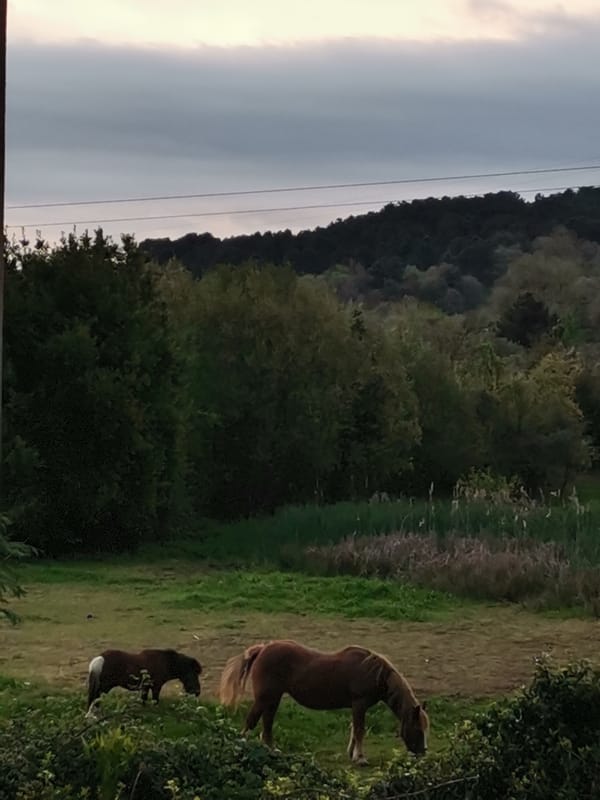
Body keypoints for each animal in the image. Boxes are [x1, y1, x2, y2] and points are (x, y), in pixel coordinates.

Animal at [219, 639, 428, 765]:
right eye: (417, 728)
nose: (422, 753)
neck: (375, 674)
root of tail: (262, 649)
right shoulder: (359, 704)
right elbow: (359, 730)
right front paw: (360, 758)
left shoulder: (356, 707)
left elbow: (354, 729)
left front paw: (351, 753)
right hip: (266, 698)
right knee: (252, 721)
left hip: (273, 699)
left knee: (266, 724)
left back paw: (271, 750)